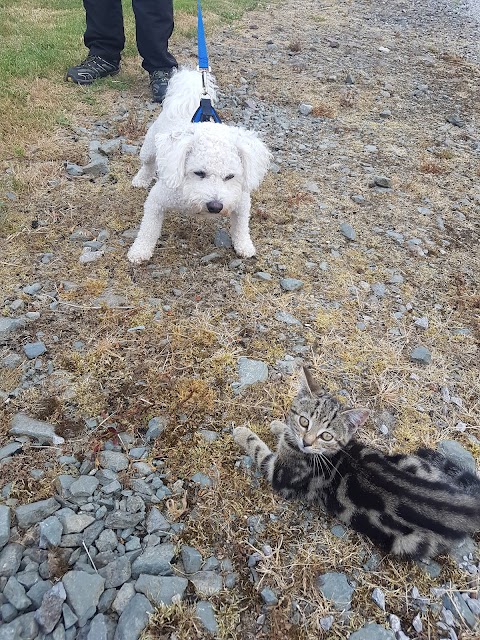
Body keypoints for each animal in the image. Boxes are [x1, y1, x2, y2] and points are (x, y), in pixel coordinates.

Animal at [126, 67, 270, 262]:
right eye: (199, 173)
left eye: (230, 176)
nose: (215, 206)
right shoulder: (156, 200)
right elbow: (148, 229)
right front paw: (139, 251)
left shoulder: (241, 200)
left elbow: (241, 226)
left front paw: (244, 246)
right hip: (149, 147)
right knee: (148, 164)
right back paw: (141, 179)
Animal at [233, 368, 480, 556]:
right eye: (304, 421)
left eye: (326, 436)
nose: (306, 441)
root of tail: (463, 505)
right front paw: (279, 426)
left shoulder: (280, 473)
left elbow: (258, 449)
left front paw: (242, 432)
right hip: (412, 462)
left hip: (409, 543)